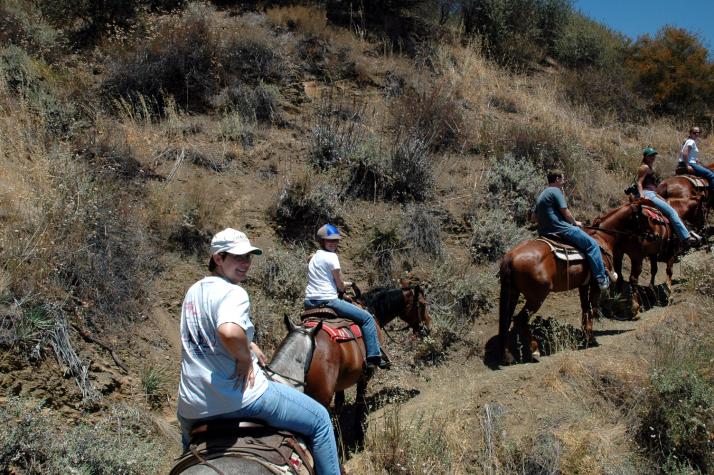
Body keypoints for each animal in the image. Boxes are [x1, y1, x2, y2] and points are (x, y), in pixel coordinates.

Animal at [498, 201, 648, 364]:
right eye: (644, 216)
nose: (651, 236)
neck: (602, 237)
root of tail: (511, 256)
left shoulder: (583, 285)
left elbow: (585, 308)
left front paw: (586, 335)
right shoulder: (595, 284)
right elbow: (593, 308)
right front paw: (591, 338)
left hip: (513, 293)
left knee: (506, 319)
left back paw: (507, 355)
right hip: (536, 297)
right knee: (521, 320)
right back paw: (535, 351)